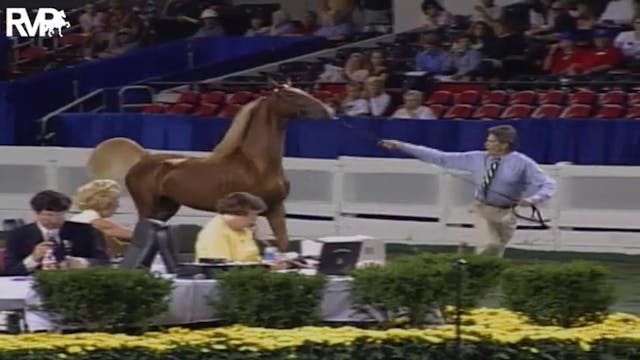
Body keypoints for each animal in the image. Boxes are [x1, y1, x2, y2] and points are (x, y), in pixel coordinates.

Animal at [86, 86, 336, 252]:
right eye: (290, 94)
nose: (328, 110)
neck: (257, 164)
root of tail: (144, 157)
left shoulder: (275, 209)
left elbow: (283, 244)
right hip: (147, 207)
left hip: (166, 208)